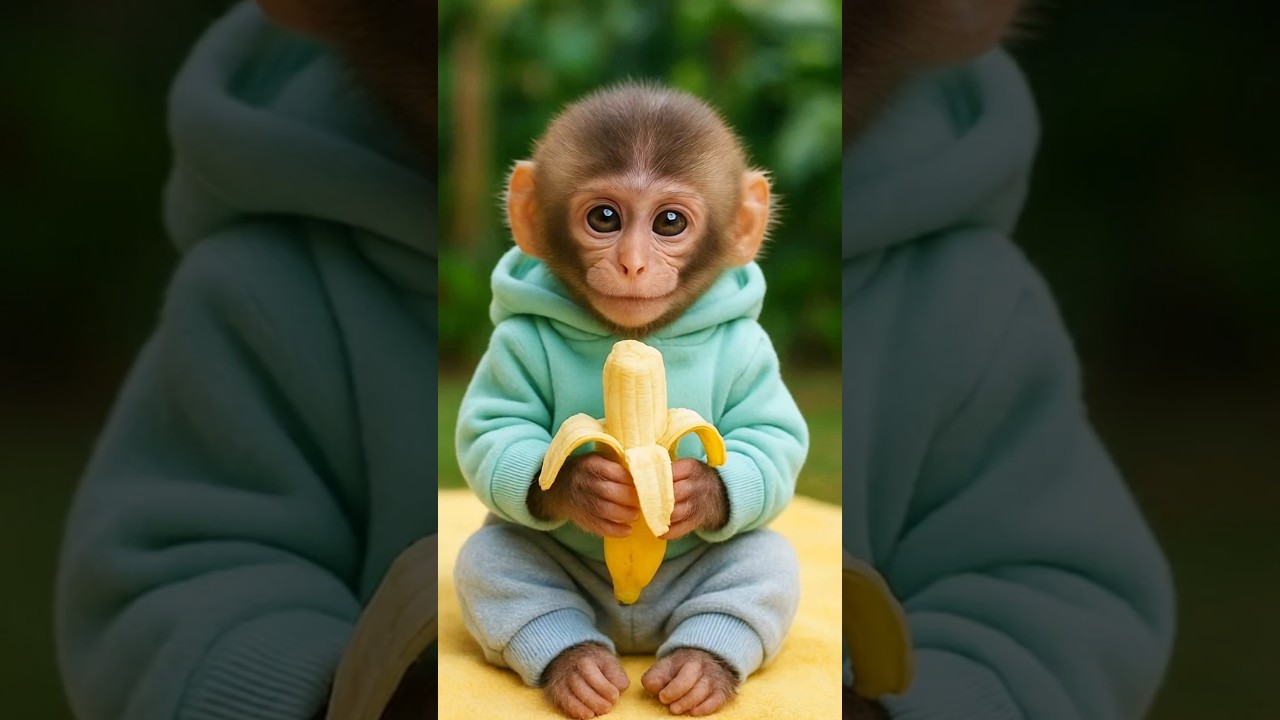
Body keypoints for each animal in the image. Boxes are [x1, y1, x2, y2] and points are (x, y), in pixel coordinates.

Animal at [452, 82, 809, 718]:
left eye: (669, 222)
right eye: (605, 217)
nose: (632, 263)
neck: (639, 337)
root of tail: (632, 629)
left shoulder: (754, 351)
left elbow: (773, 437)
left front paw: (694, 491)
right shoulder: (509, 346)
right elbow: (493, 430)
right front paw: (586, 487)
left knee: (760, 564)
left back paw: (697, 669)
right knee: (495, 563)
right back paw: (579, 668)